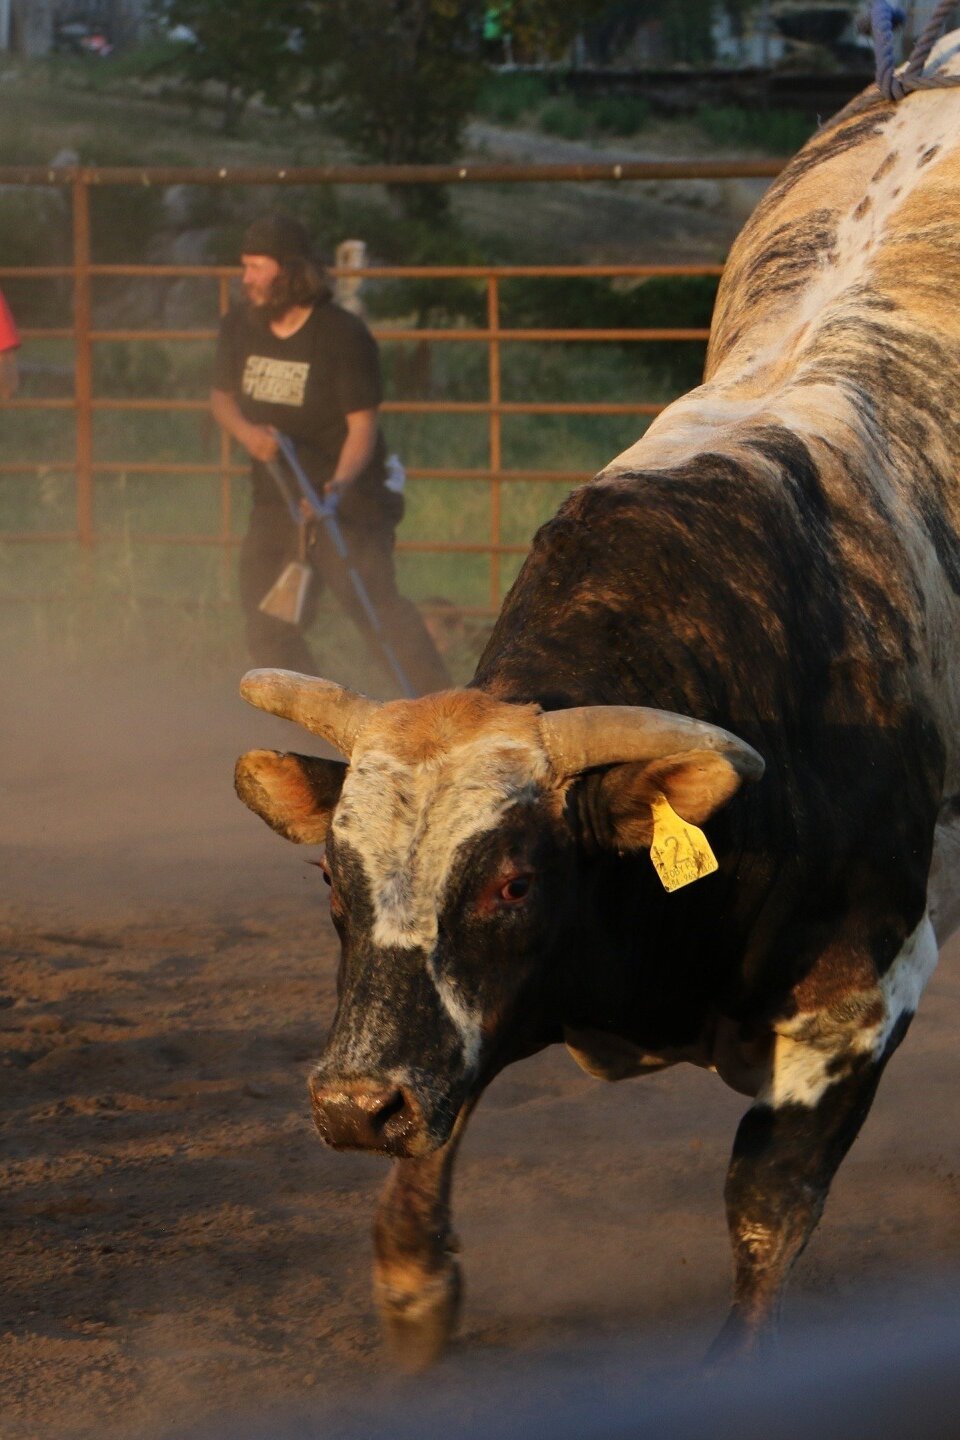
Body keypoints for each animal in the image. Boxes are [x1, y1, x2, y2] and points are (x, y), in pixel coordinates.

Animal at [234, 48, 960, 1371]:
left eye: (514, 882)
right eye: (329, 875)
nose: (355, 1104)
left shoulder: (859, 991)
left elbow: (767, 1203)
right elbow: (449, 1098)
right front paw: (415, 1281)